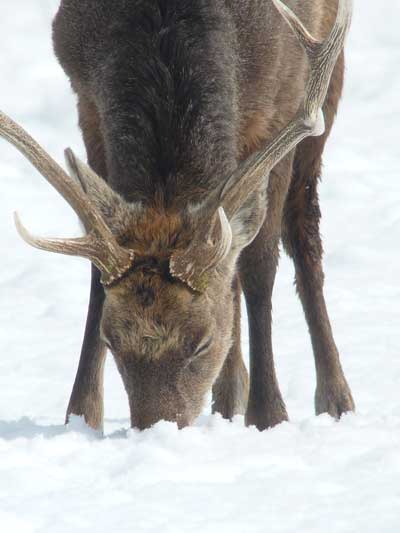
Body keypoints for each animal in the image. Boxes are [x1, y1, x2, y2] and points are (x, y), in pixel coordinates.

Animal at [1, 0, 354, 430]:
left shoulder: (283, 103)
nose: (157, 429)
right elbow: (96, 276)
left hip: (327, 91)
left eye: (201, 343)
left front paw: (269, 414)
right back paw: (229, 394)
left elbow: (260, 265)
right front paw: (82, 415)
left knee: (303, 236)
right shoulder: (87, 103)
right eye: (111, 339)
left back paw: (336, 398)